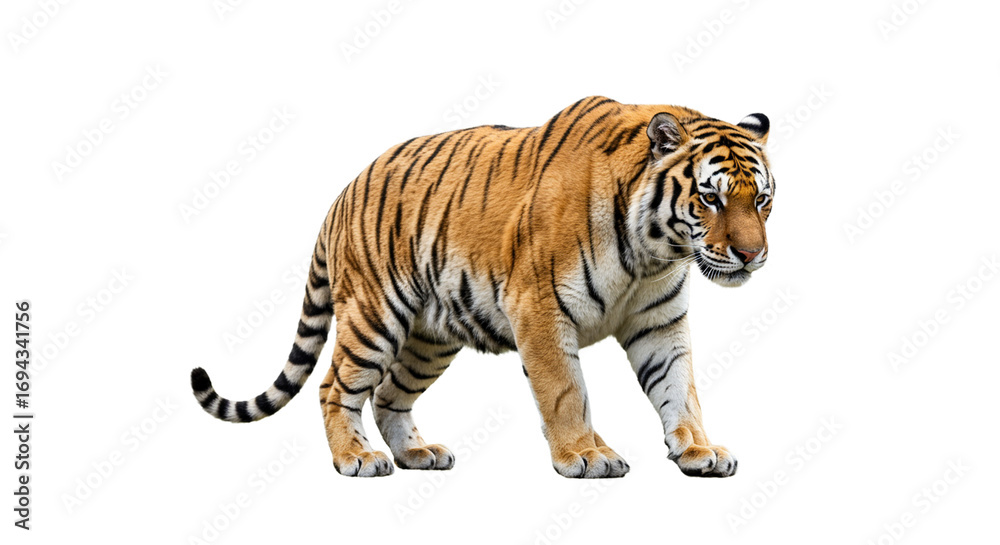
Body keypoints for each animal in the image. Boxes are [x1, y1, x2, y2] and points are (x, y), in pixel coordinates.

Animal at [190, 96, 774, 478]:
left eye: (762, 200)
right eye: (712, 198)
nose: (751, 255)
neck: (653, 253)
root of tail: (343, 192)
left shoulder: (659, 322)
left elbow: (680, 390)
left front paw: (699, 451)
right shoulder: (540, 309)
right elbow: (567, 393)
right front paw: (586, 456)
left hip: (428, 340)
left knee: (388, 394)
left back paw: (417, 454)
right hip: (374, 317)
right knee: (336, 386)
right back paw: (355, 458)